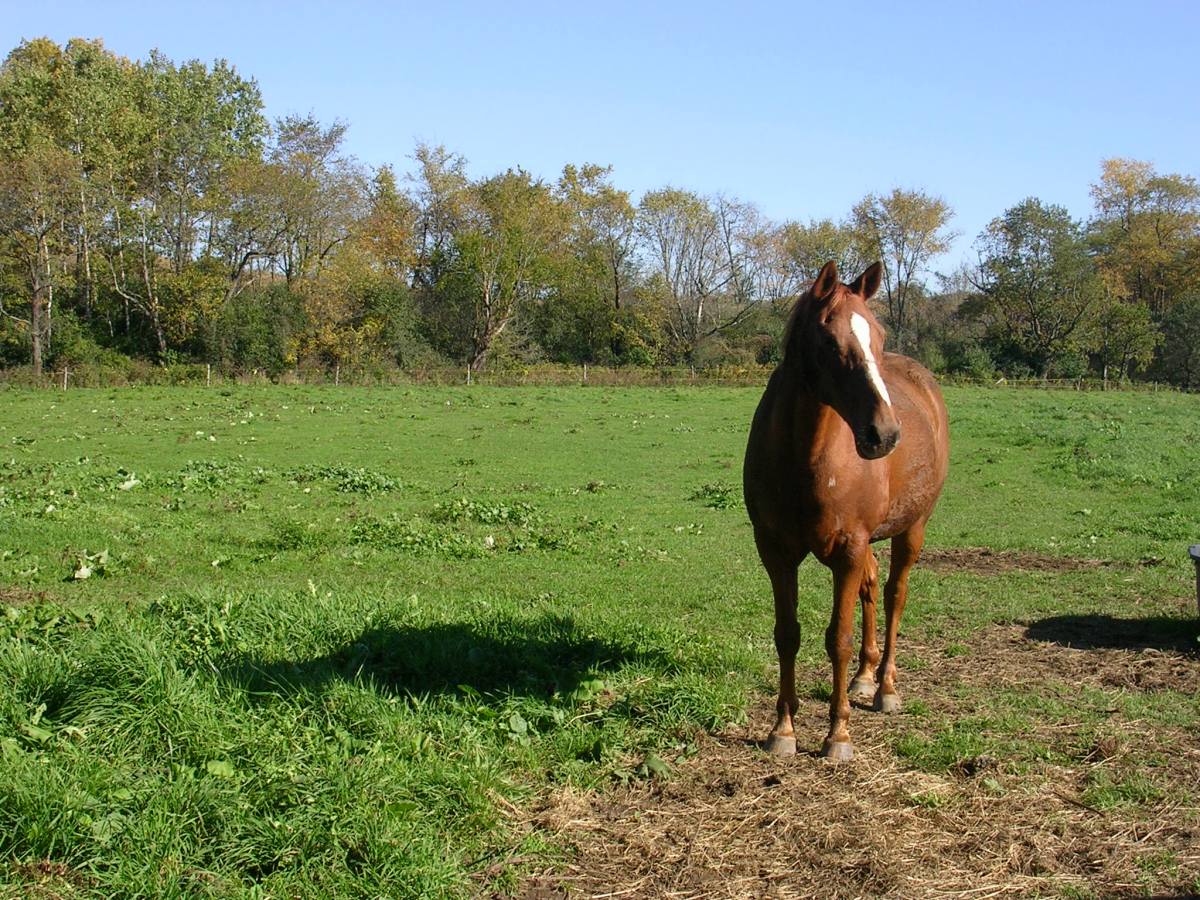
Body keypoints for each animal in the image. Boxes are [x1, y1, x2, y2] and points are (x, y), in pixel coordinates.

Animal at [743, 260, 949, 762]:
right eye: (829, 340)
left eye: (878, 335)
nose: (884, 434)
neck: (805, 459)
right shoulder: (776, 552)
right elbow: (787, 634)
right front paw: (783, 728)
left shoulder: (848, 551)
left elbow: (837, 638)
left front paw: (838, 734)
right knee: (873, 590)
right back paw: (864, 677)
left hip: (911, 529)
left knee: (895, 594)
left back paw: (886, 687)